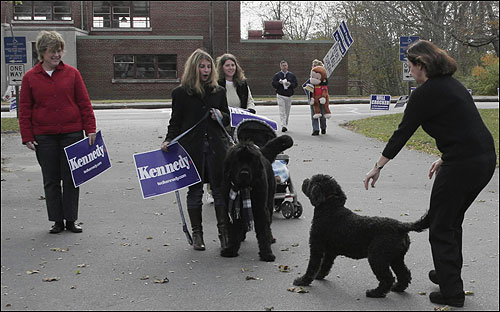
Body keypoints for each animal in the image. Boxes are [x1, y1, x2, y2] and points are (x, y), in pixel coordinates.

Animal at [292, 174, 430, 298]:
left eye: (311, 181)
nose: (305, 180)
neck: (330, 208)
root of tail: (401, 226)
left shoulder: (316, 247)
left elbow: (312, 266)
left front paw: (302, 281)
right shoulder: (330, 252)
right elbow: (325, 265)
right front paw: (319, 276)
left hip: (377, 258)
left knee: (388, 278)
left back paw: (375, 293)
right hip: (396, 258)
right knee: (404, 274)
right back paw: (397, 288)